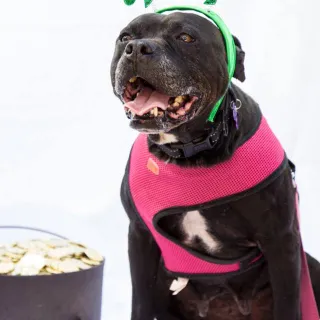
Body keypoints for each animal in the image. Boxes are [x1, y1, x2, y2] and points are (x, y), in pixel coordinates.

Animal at [110, 11, 320, 318]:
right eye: (125, 37)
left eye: (186, 37)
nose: (137, 48)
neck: (188, 153)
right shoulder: (141, 237)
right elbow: (141, 303)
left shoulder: (281, 240)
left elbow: (288, 304)